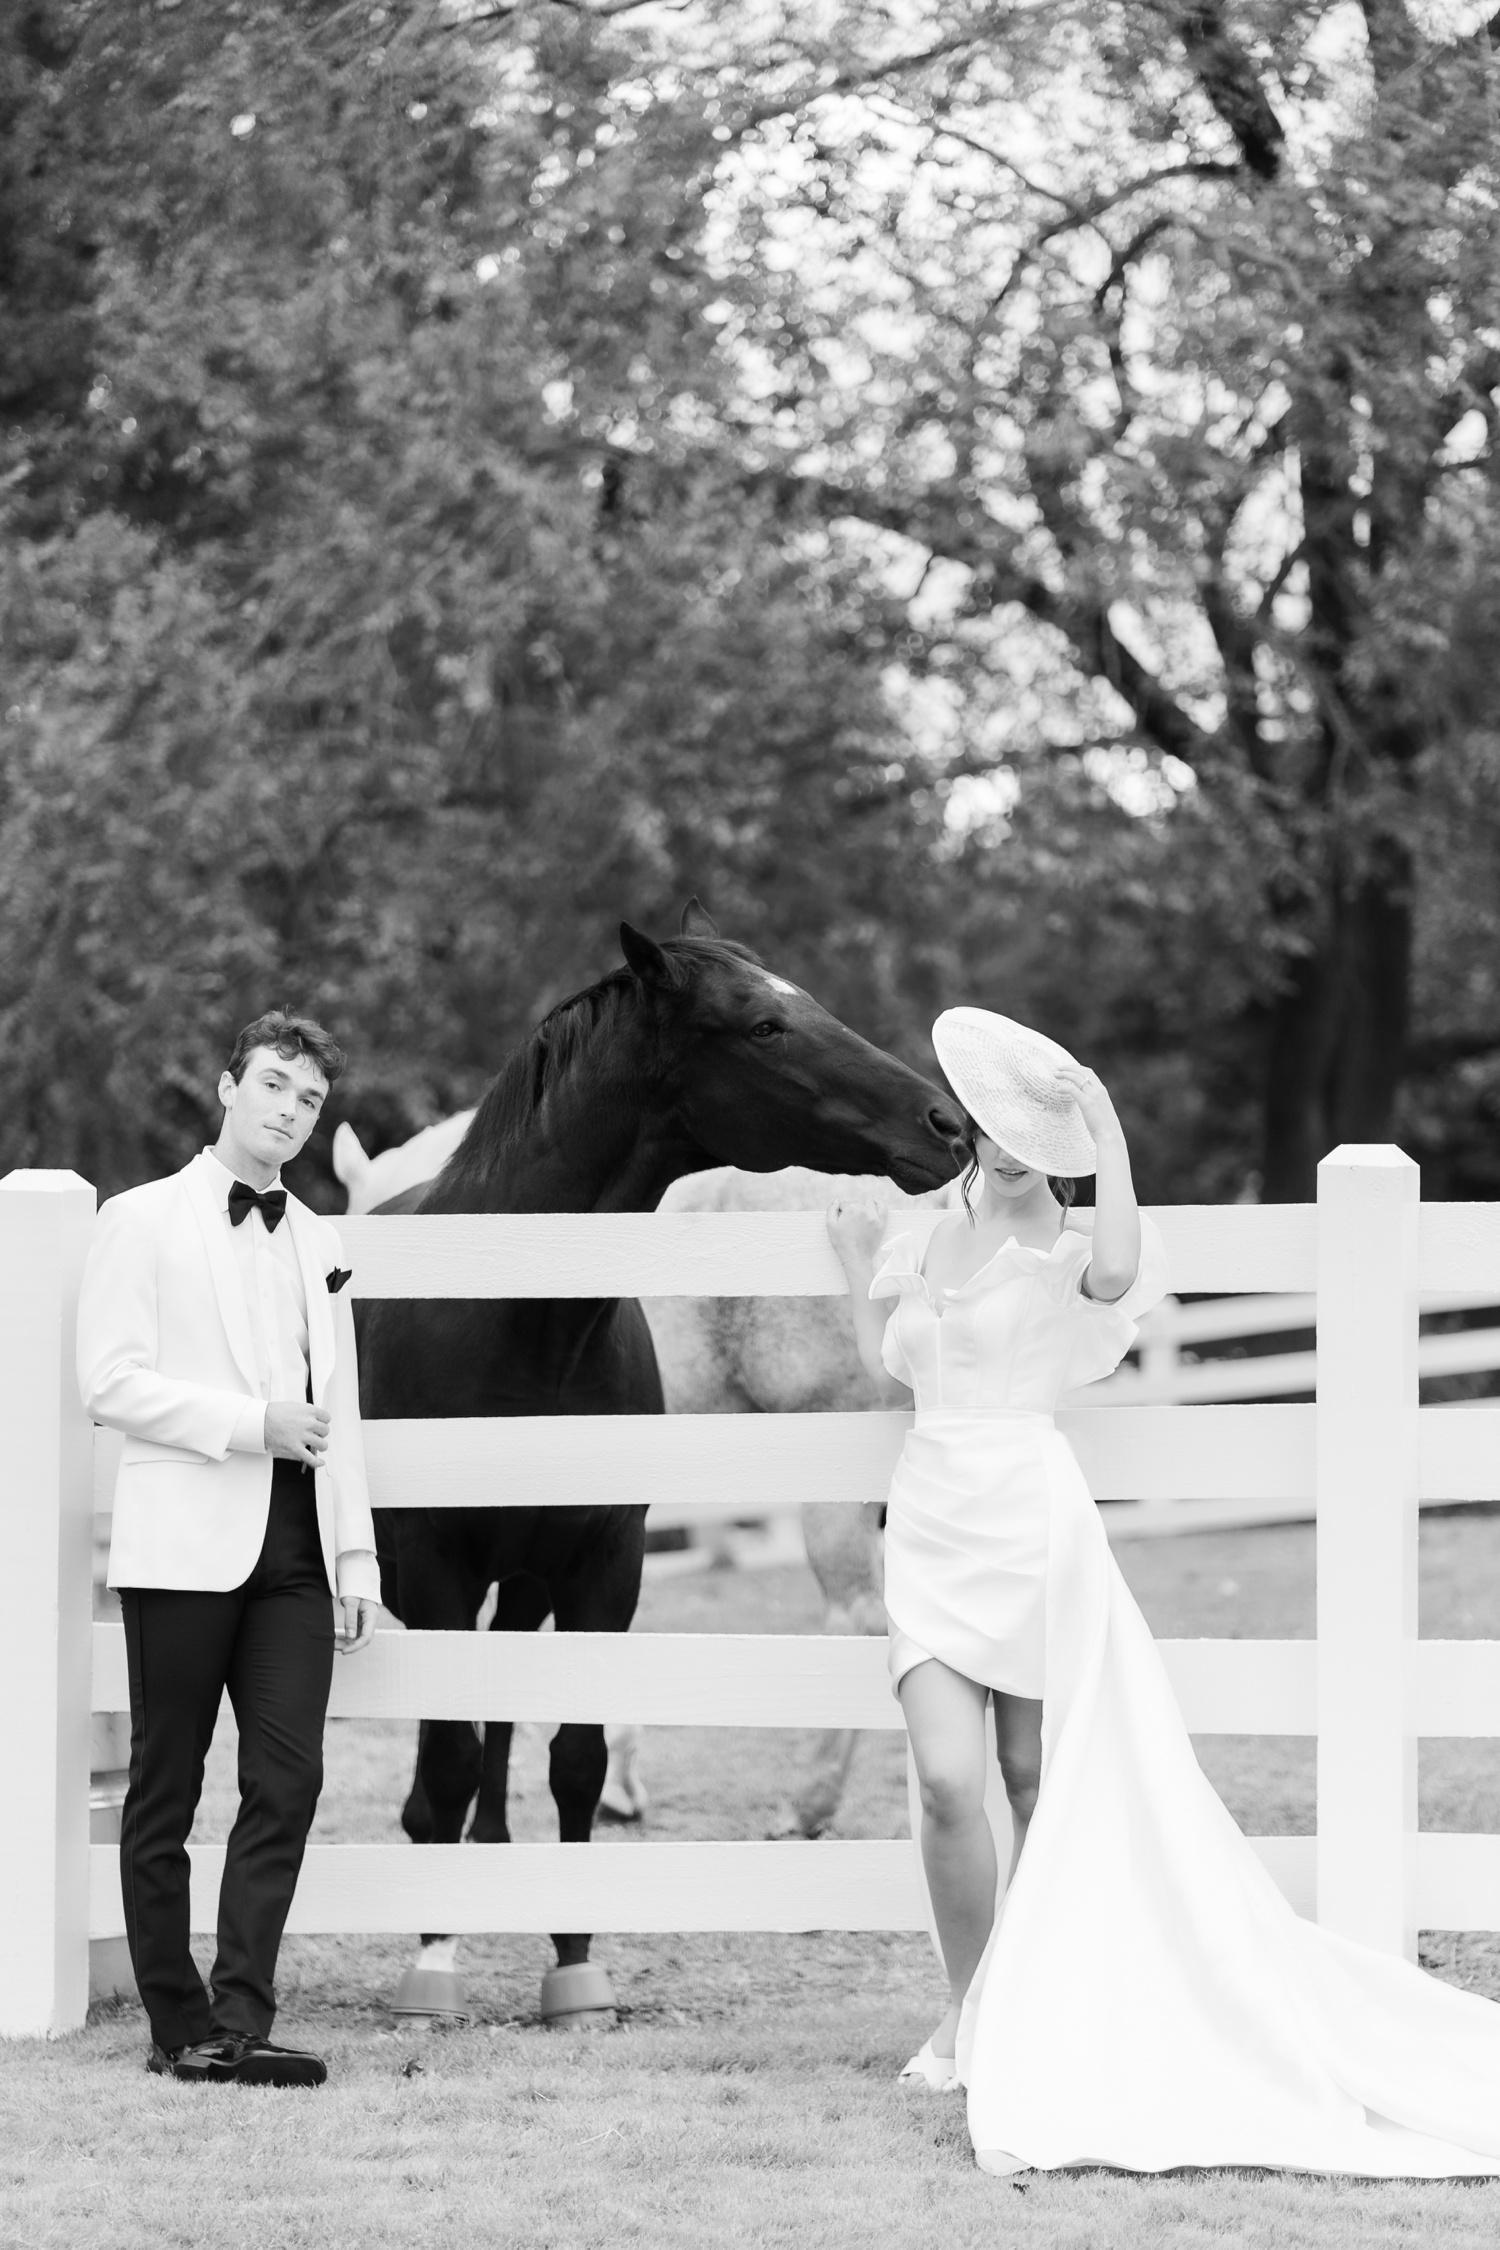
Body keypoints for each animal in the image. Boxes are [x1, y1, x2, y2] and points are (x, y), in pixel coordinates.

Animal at [353, 902, 964, 2022]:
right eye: (763, 1024)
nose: (945, 1126)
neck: (508, 1316)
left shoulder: (606, 1560)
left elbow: (578, 1759)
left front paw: (575, 1960)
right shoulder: (444, 1567)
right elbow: (456, 1755)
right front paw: (436, 1956)